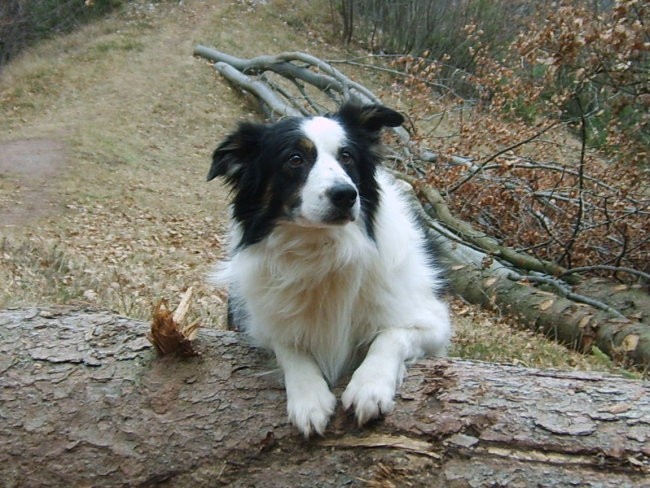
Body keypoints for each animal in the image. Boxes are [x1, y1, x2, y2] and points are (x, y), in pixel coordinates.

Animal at [208, 103, 450, 438]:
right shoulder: (260, 323)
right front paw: (308, 398)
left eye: (346, 156)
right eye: (295, 159)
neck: (323, 248)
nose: (345, 194)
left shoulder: (432, 321)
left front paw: (369, 386)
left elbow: (390, 336)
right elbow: (289, 346)